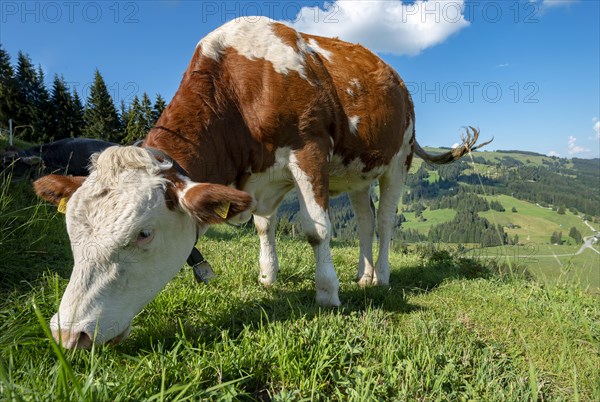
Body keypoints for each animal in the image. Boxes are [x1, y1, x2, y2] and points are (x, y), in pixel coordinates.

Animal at [32, 17, 490, 348]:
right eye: (71, 231)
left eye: (144, 234)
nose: (68, 334)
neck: (240, 87)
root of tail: (393, 75)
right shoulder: (262, 179)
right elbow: (263, 225)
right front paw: (269, 277)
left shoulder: (309, 148)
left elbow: (316, 229)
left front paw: (327, 293)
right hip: (356, 172)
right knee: (363, 219)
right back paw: (363, 274)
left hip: (398, 158)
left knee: (384, 221)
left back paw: (381, 277)